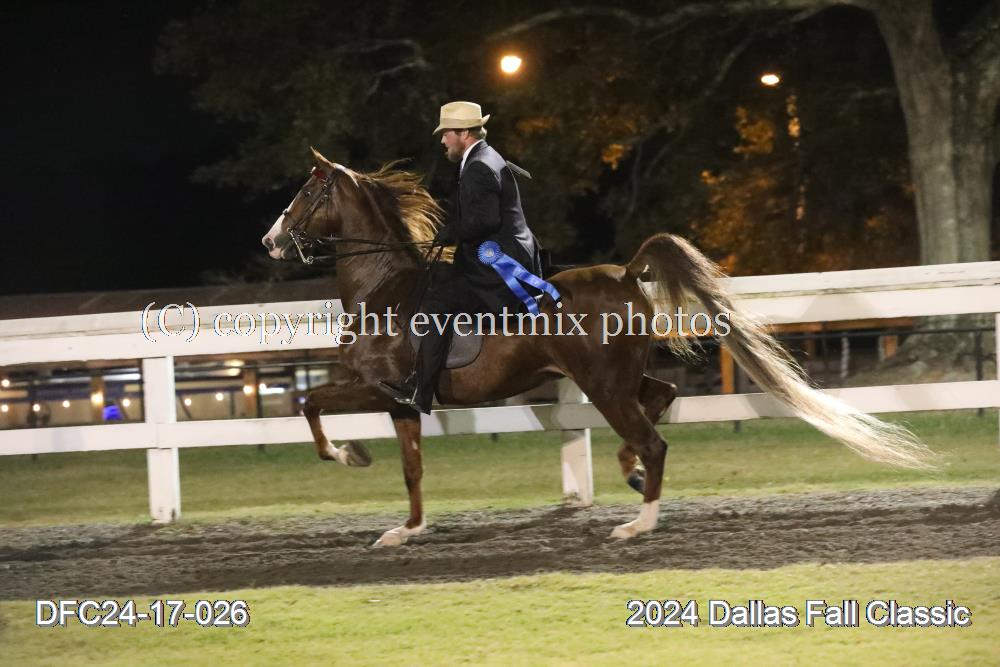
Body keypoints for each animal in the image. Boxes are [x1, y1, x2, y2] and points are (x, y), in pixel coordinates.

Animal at [261, 148, 935, 547]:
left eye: (306, 194)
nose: (270, 240)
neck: (385, 287)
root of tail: (626, 273)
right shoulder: (401, 402)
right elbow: (411, 468)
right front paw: (407, 529)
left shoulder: (379, 388)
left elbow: (311, 406)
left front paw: (349, 456)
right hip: (622, 378)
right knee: (660, 402)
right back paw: (631, 476)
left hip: (603, 384)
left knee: (654, 439)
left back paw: (639, 522)